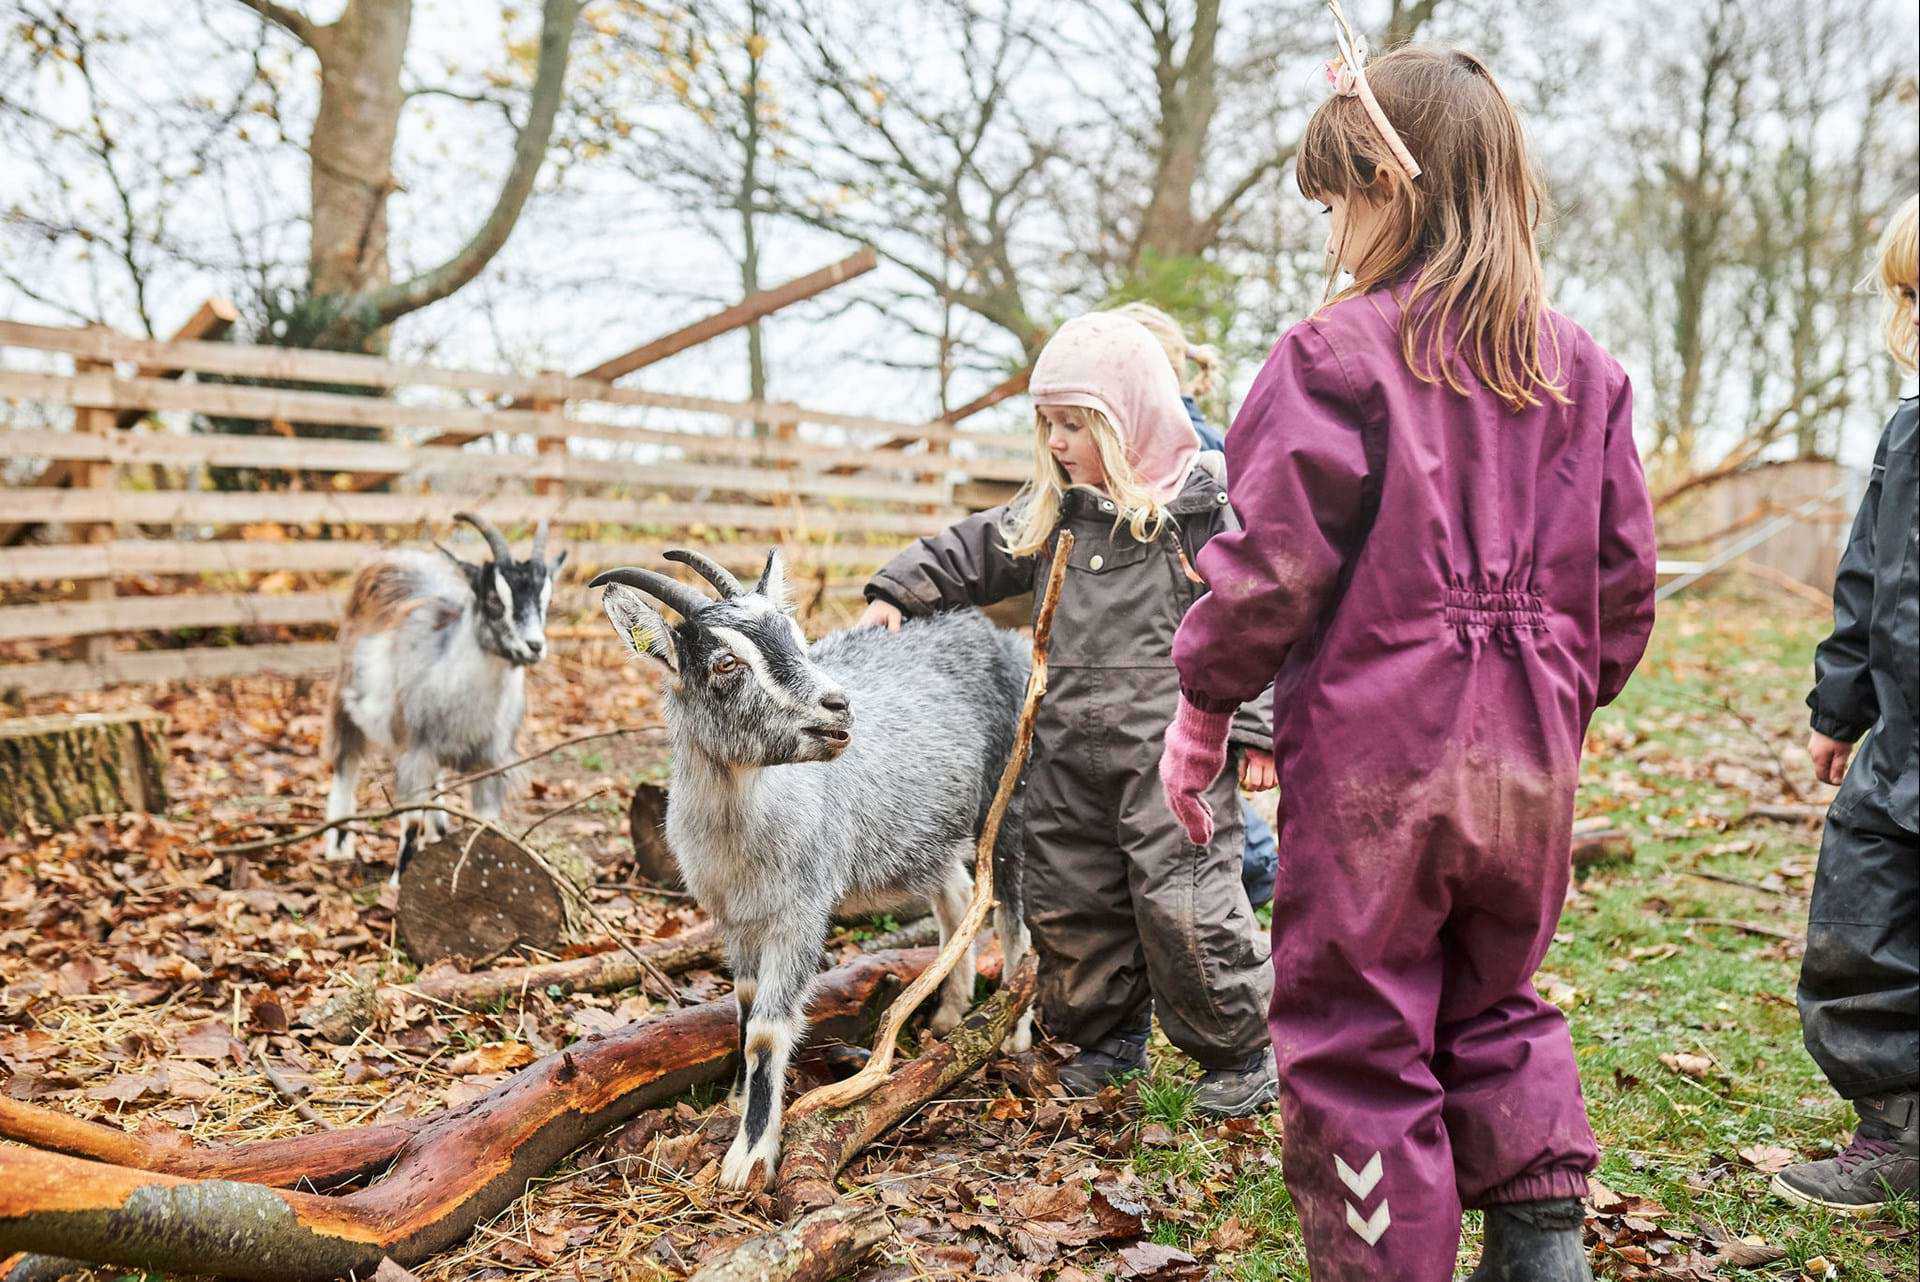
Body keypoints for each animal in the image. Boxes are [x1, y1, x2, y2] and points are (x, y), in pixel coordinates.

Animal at [318, 510, 560, 871]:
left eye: (546, 600)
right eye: (493, 600)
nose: (534, 646)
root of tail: (397, 554)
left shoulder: (492, 763)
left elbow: (484, 826)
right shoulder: (415, 754)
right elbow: (411, 821)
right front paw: (397, 878)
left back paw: (438, 832)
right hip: (345, 699)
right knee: (345, 763)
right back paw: (338, 845)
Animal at [591, 548, 1029, 1189]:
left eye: (797, 641)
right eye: (726, 662)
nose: (839, 705)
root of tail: (999, 635)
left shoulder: (801, 911)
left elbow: (769, 1029)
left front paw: (749, 1157)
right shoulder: (737, 919)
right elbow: (745, 1005)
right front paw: (735, 1098)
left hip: (1010, 793)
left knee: (1012, 916)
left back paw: (1015, 1029)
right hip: (931, 833)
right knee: (956, 897)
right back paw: (950, 1013)